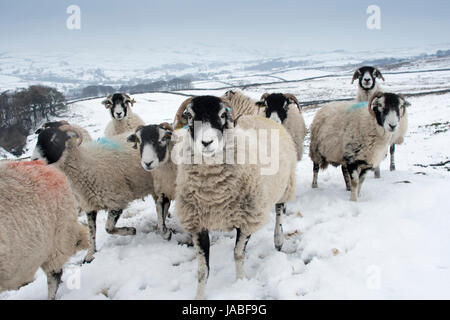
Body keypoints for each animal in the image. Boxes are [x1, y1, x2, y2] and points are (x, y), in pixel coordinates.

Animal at [30, 124, 169, 262]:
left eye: (55, 139)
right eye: (38, 139)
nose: (34, 160)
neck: (84, 166)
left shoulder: (116, 200)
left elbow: (108, 228)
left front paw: (130, 230)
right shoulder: (89, 206)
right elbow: (92, 231)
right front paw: (90, 254)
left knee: (160, 205)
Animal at [174, 95, 298, 300]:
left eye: (223, 115)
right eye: (189, 115)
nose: (206, 142)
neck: (213, 194)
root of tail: (266, 119)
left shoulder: (248, 219)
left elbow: (238, 254)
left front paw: (241, 283)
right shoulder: (197, 224)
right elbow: (202, 270)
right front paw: (199, 296)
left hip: (285, 185)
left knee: (279, 211)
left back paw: (278, 239)